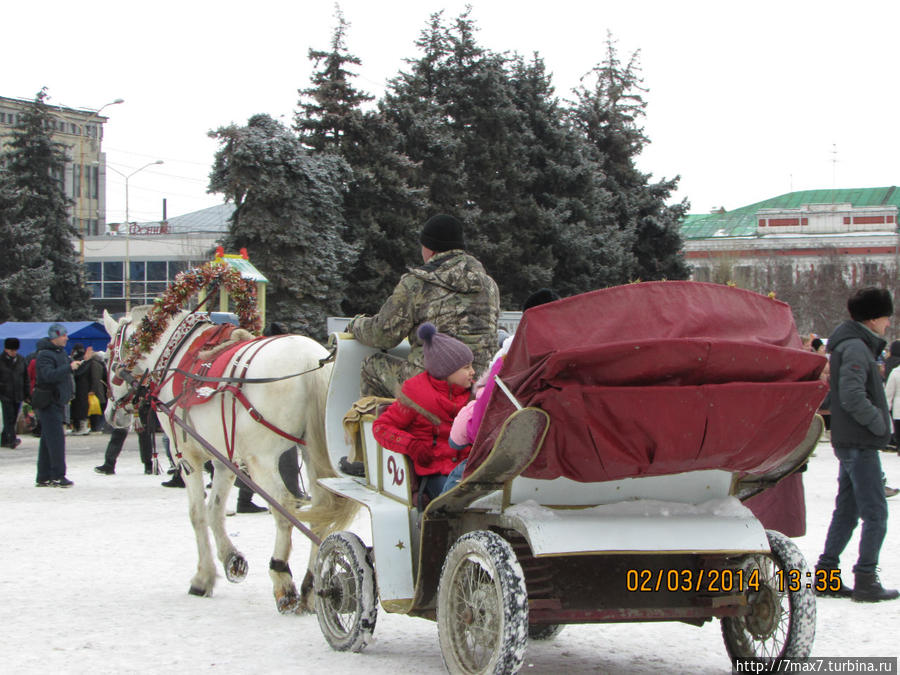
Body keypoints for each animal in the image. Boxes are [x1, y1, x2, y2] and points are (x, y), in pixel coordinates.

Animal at [103, 308, 356, 616]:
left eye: (108, 354)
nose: (112, 414)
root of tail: (312, 361)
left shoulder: (187, 455)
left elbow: (197, 514)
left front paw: (203, 577)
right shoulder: (225, 459)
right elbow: (215, 510)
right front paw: (231, 560)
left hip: (262, 458)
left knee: (284, 506)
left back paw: (283, 580)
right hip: (312, 451)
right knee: (320, 510)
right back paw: (311, 587)